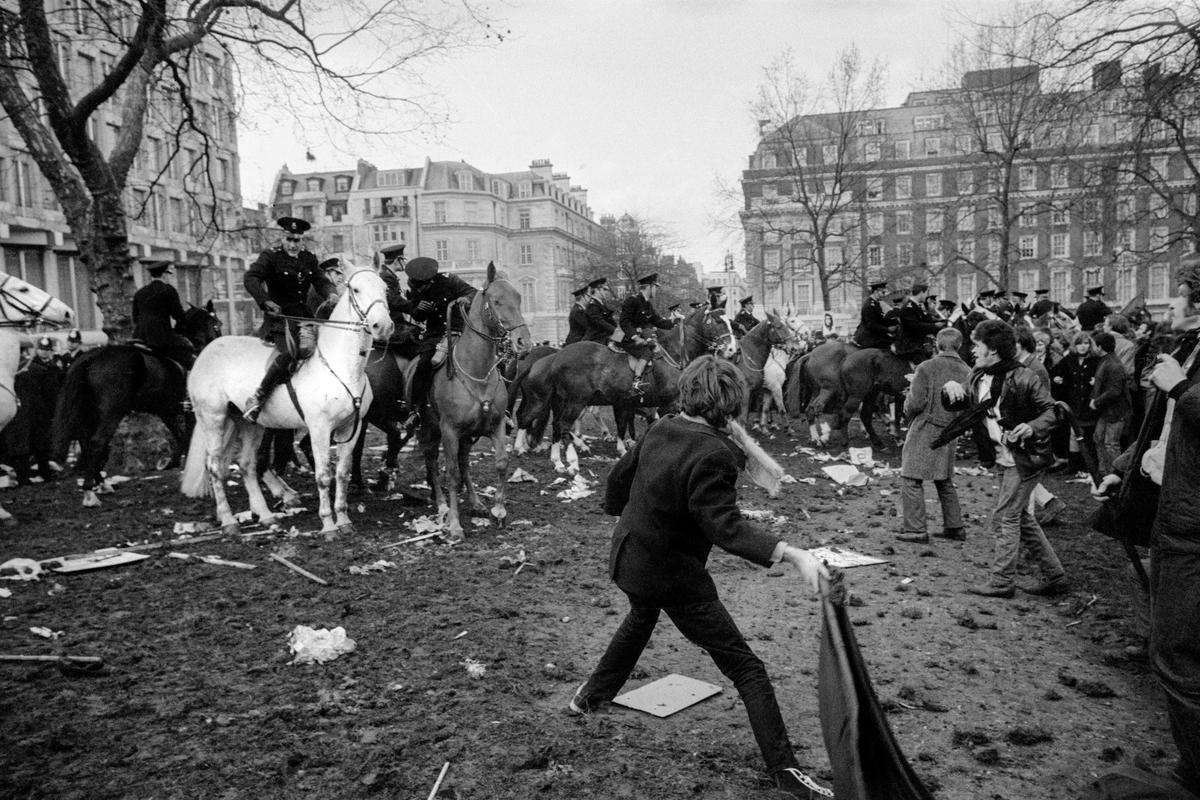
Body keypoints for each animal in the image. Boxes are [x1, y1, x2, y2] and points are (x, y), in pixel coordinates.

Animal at [54, 303, 224, 503]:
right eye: (217, 324)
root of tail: (93, 356)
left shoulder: (166, 411)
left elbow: (180, 436)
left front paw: (171, 463)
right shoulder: (187, 411)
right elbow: (186, 437)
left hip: (88, 414)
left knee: (87, 444)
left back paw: (101, 484)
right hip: (112, 412)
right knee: (97, 442)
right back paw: (90, 491)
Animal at [180, 268, 391, 537]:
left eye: (385, 288)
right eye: (356, 289)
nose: (383, 326)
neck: (340, 366)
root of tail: (207, 351)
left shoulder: (349, 428)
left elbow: (342, 474)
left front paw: (344, 520)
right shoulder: (319, 428)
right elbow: (323, 476)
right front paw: (328, 525)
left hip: (250, 424)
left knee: (247, 465)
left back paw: (266, 516)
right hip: (213, 419)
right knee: (215, 467)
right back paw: (229, 521)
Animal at [424, 262, 532, 537]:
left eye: (519, 297)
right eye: (497, 300)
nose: (523, 342)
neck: (477, 374)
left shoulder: (495, 425)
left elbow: (501, 463)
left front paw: (499, 510)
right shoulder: (449, 431)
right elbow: (451, 474)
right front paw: (454, 524)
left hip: (467, 436)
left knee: (464, 462)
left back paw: (475, 503)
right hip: (429, 430)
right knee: (432, 461)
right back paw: (442, 505)